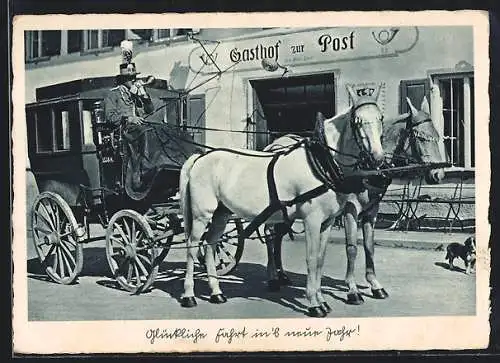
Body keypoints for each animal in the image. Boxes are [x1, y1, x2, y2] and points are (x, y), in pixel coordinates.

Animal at [179, 85, 382, 318]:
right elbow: (311, 259)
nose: (377, 158)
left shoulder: (327, 222)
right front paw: (314, 304)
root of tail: (201, 157)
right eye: (357, 121)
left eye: (380, 118)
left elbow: (320, 260)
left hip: (222, 213)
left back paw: (216, 292)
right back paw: (189, 295)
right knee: (193, 246)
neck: (320, 161)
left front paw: (322, 300)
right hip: (201, 214)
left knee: (211, 244)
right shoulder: (312, 220)